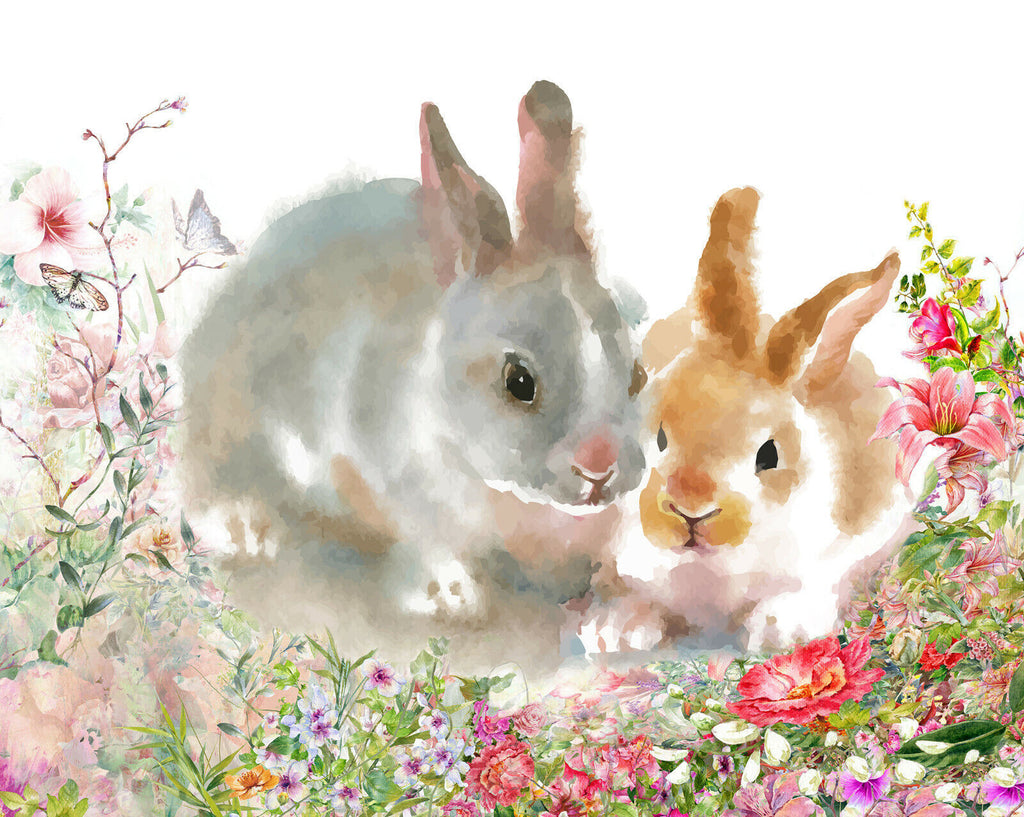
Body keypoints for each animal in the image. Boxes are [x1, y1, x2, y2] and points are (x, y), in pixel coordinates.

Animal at [179, 81, 648, 674]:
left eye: (636, 372)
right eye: (518, 381)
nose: (600, 469)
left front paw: (618, 616)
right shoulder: (389, 473)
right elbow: (428, 537)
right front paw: (448, 595)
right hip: (228, 408)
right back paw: (243, 526)